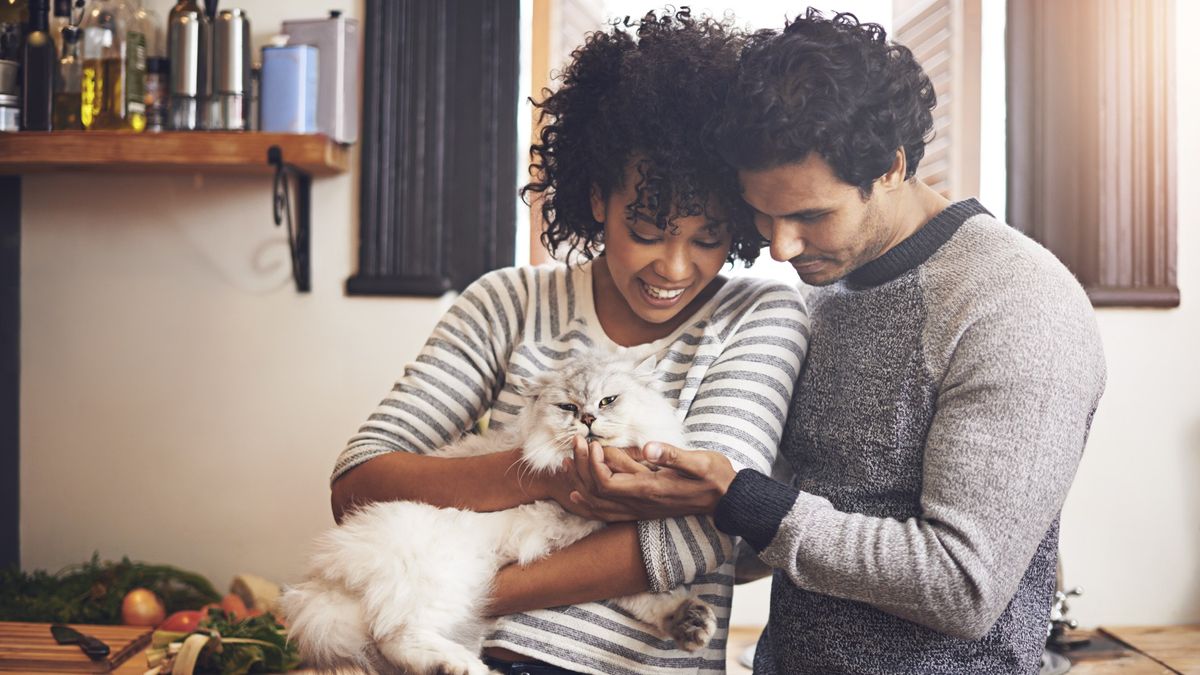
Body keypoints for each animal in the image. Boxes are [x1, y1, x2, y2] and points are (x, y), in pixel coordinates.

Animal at [280, 353, 710, 672]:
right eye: (568, 407)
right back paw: (461, 667)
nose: (587, 419)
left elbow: (644, 596)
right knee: (395, 637)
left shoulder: (597, 542)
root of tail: (323, 579)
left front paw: (687, 621)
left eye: (608, 401)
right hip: (446, 576)